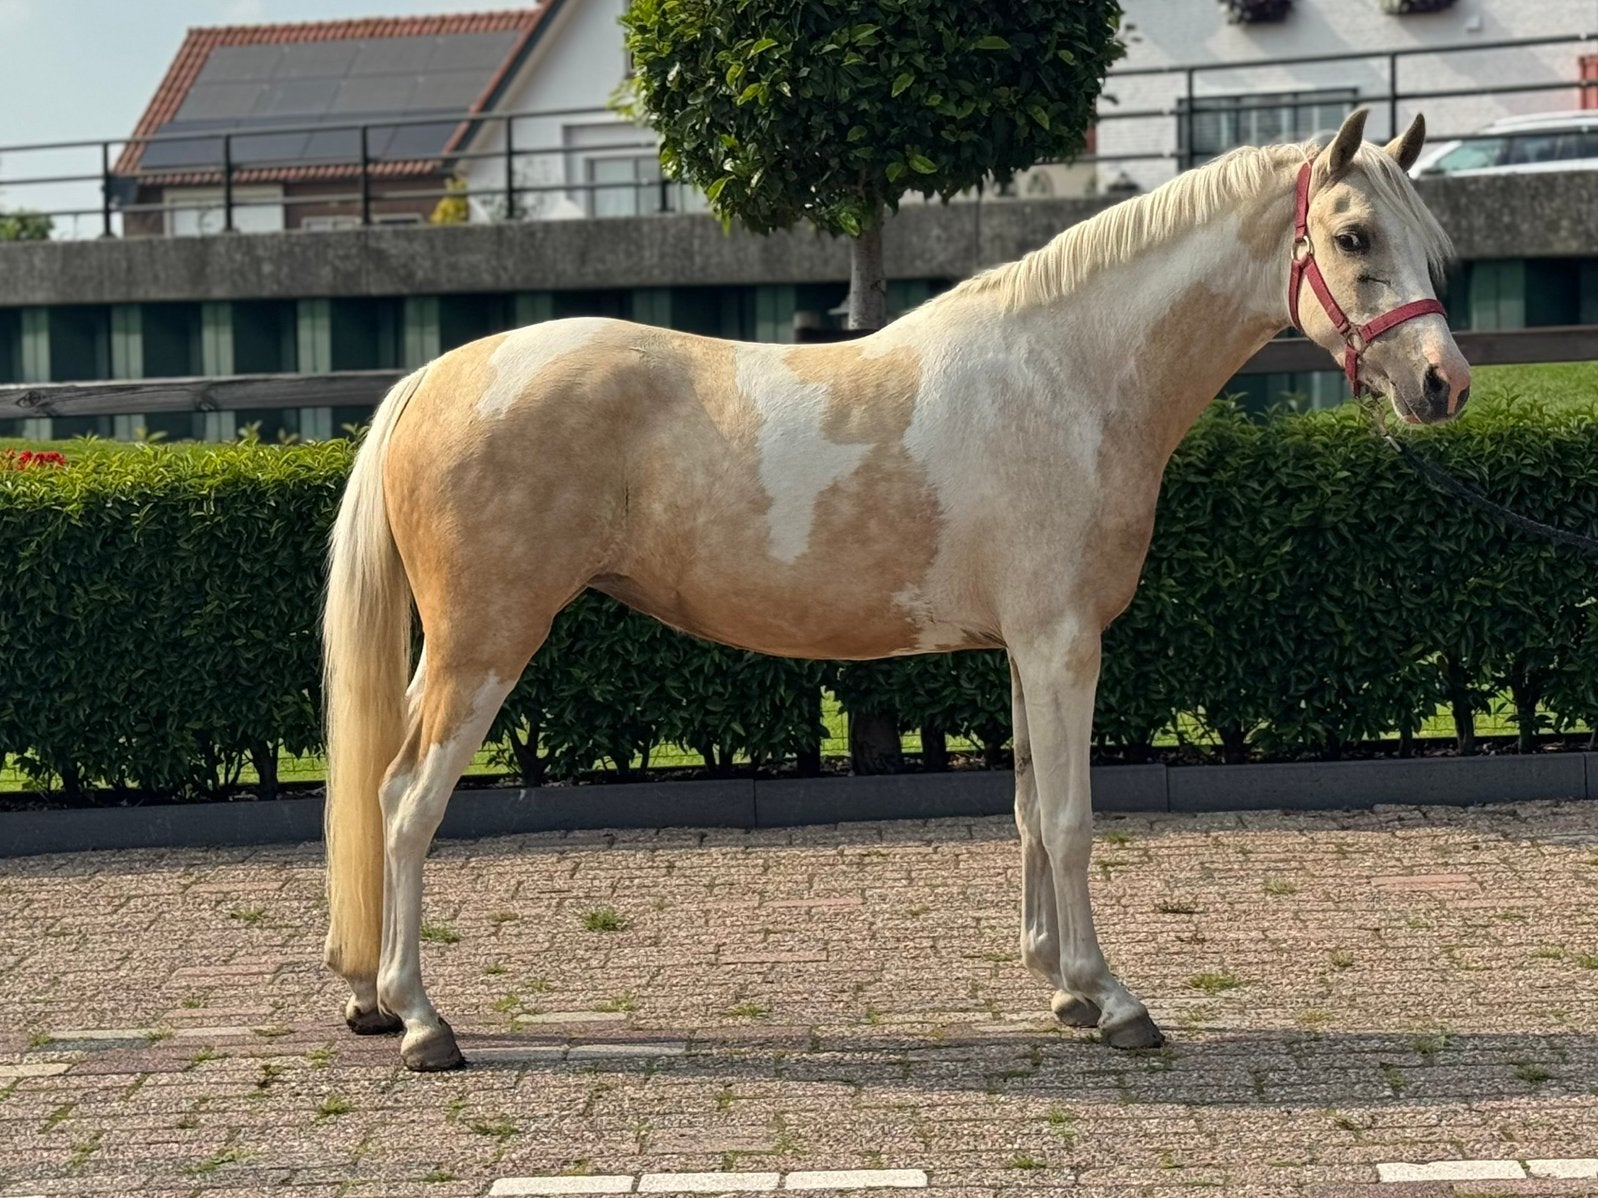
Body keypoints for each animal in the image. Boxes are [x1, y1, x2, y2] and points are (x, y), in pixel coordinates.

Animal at [321, 108, 1469, 1071]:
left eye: (1428, 243)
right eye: (1353, 236)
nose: (1441, 384)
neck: (1070, 376)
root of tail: (437, 376)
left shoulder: (1026, 650)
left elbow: (1025, 809)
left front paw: (1060, 990)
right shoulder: (1063, 645)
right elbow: (1070, 818)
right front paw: (1113, 1000)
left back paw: (374, 999)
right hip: (483, 650)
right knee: (407, 801)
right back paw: (420, 1020)